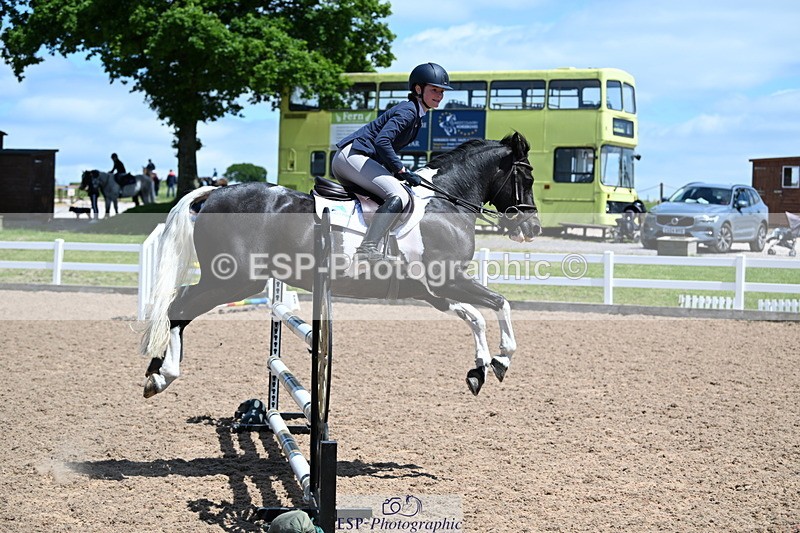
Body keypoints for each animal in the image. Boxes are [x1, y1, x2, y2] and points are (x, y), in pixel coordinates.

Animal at [141, 132, 541, 398]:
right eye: (529, 177)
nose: (532, 228)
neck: (446, 203)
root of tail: (214, 192)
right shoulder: (446, 282)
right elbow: (494, 306)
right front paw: (498, 361)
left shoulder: (432, 291)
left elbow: (479, 313)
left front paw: (484, 368)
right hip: (235, 280)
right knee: (178, 307)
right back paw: (163, 374)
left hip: (233, 281)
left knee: (180, 303)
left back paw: (156, 370)